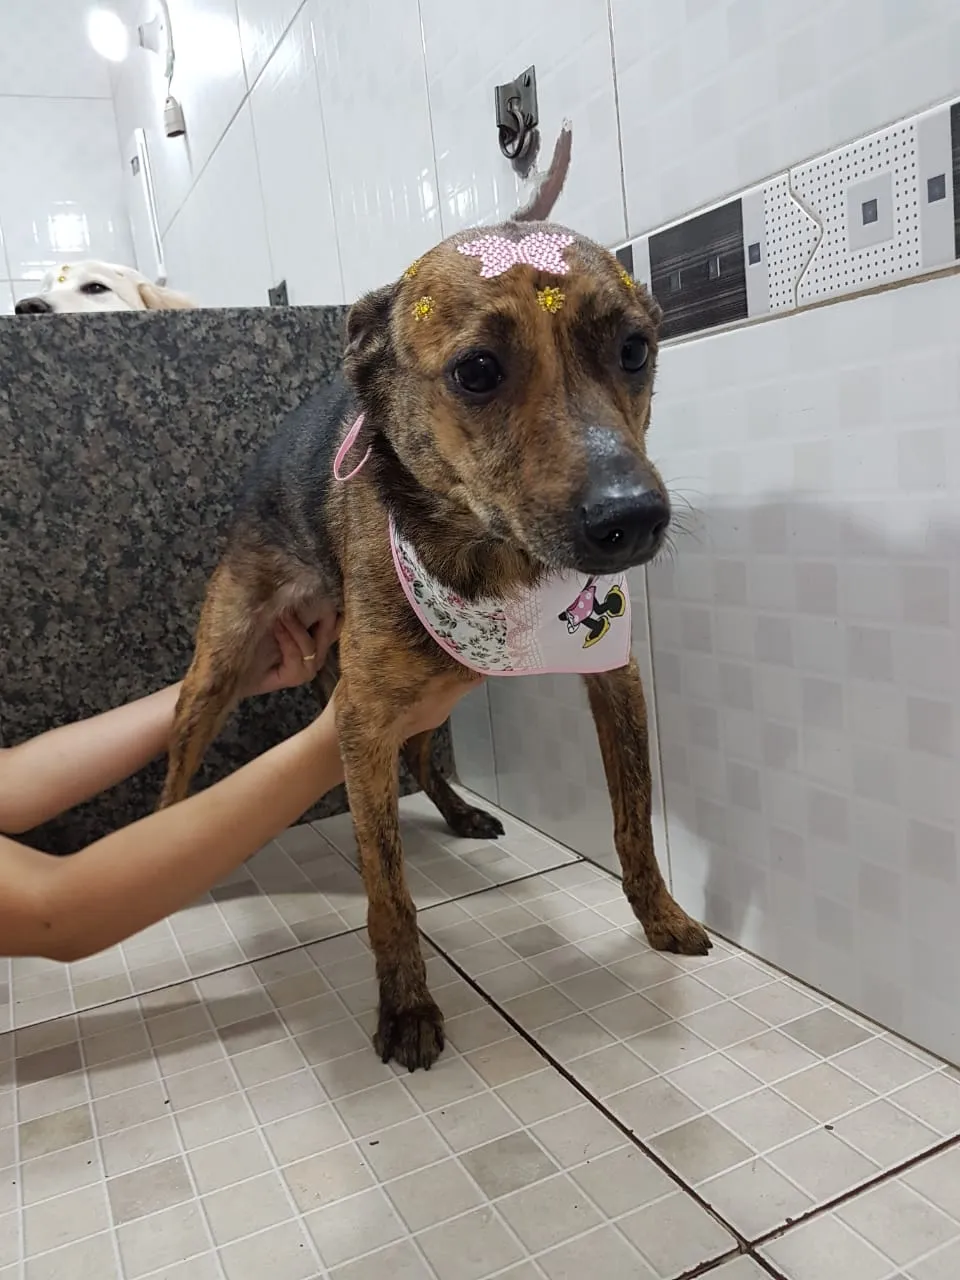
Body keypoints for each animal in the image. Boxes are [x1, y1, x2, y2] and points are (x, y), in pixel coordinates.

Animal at [160, 125, 711, 1072]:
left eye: (636, 349)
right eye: (478, 370)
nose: (633, 519)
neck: (494, 560)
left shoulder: (613, 674)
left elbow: (633, 818)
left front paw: (661, 916)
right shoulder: (360, 717)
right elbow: (388, 890)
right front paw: (408, 1005)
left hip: (434, 689)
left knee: (424, 757)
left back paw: (458, 812)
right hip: (226, 661)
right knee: (180, 762)